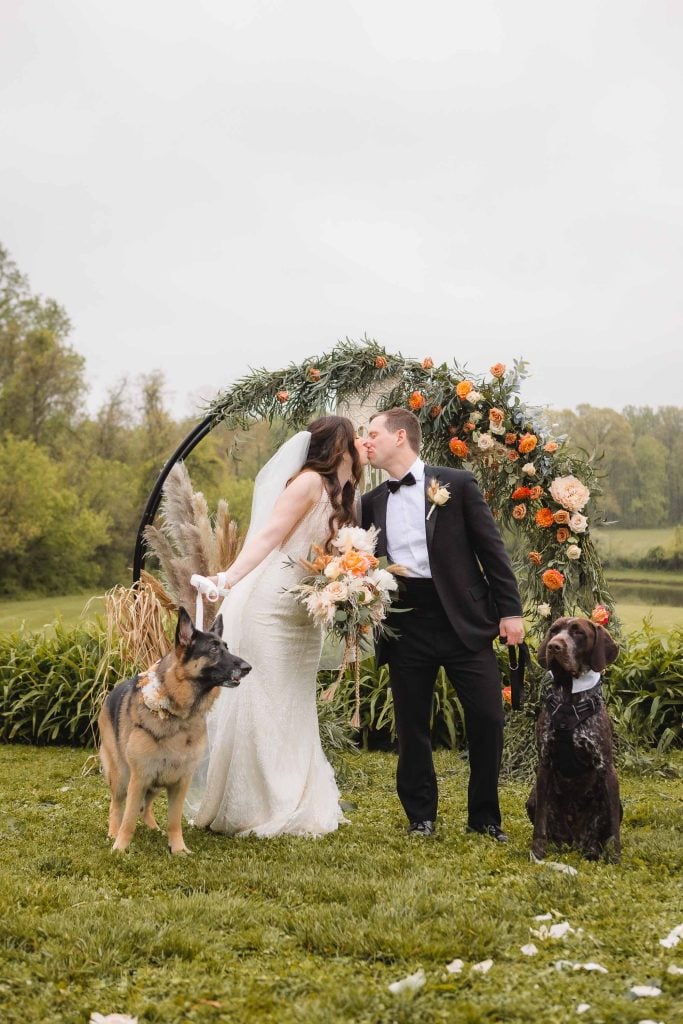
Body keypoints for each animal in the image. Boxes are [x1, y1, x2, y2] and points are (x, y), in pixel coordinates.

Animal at [98, 606, 250, 856]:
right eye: (213, 649)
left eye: (226, 647)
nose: (248, 668)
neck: (178, 714)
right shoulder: (139, 778)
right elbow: (129, 818)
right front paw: (120, 848)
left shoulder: (180, 781)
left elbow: (174, 820)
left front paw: (178, 849)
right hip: (121, 776)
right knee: (117, 805)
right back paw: (113, 831)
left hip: (156, 781)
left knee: (147, 805)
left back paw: (152, 827)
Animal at [528, 614, 622, 864]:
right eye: (553, 630)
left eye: (578, 632)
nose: (554, 646)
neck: (569, 697)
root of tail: (573, 839)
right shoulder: (545, 762)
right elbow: (540, 821)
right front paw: (537, 851)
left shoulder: (606, 767)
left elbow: (614, 826)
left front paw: (615, 855)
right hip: (532, 798)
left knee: (600, 831)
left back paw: (594, 849)